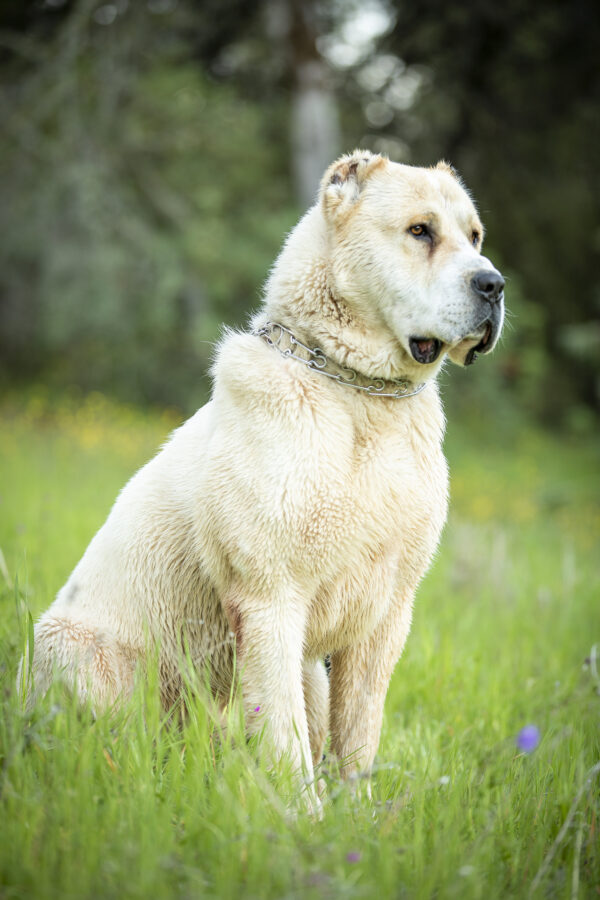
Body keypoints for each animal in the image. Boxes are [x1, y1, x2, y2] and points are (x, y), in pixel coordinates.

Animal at [21, 151, 504, 812]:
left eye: (475, 237)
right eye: (420, 231)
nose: (494, 285)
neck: (360, 396)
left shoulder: (386, 615)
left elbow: (359, 733)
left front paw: (357, 821)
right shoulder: (269, 599)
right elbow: (282, 733)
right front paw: (304, 821)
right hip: (73, 648)